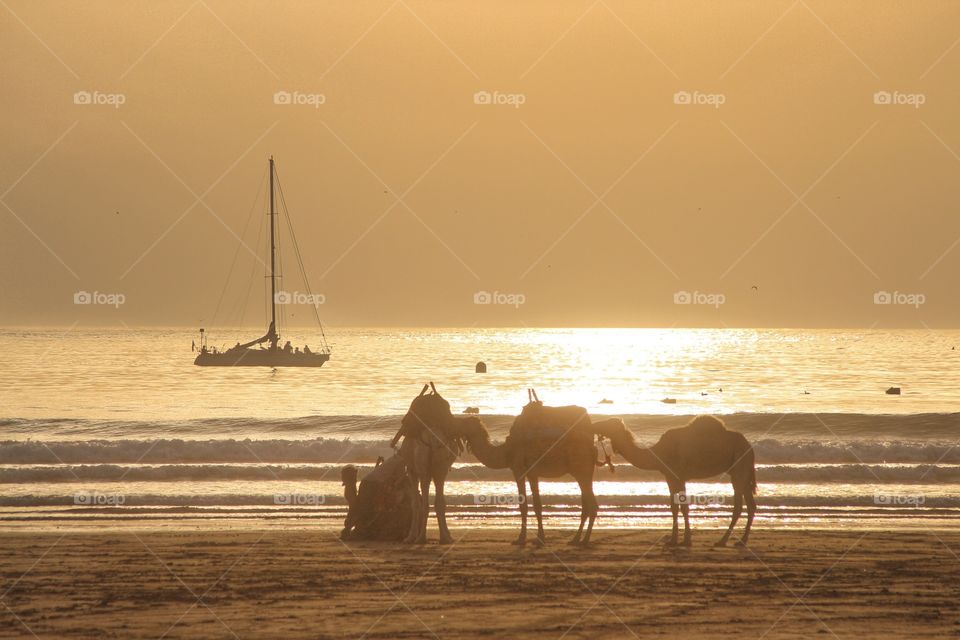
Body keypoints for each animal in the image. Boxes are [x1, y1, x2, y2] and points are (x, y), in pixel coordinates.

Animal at [392, 382, 464, 544]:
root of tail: (432, 437)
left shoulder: (412, 471)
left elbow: (415, 503)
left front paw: (410, 536)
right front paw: (447, 535)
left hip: (422, 467)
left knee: (424, 503)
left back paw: (420, 537)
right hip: (440, 468)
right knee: (439, 501)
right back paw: (445, 537)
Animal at [446, 390, 604, 544]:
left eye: (463, 422)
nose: (452, 425)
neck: (507, 451)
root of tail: (593, 448)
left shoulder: (518, 470)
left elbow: (523, 505)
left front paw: (521, 538)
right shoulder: (532, 473)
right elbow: (537, 505)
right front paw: (540, 537)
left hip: (581, 468)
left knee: (592, 505)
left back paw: (583, 540)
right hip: (584, 471)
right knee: (587, 503)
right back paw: (577, 539)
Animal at [592, 418, 756, 548]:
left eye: (609, 422)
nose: (594, 424)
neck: (659, 453)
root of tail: (749, 447)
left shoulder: (679, 476)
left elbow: (684, 507)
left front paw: (686, 540)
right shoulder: (670, 477)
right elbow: (674, 508)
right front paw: (673, 540)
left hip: (740, 464)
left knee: (738, 506)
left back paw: (722, 541)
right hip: (742, 470)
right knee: (750, 504)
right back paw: (741, 541)